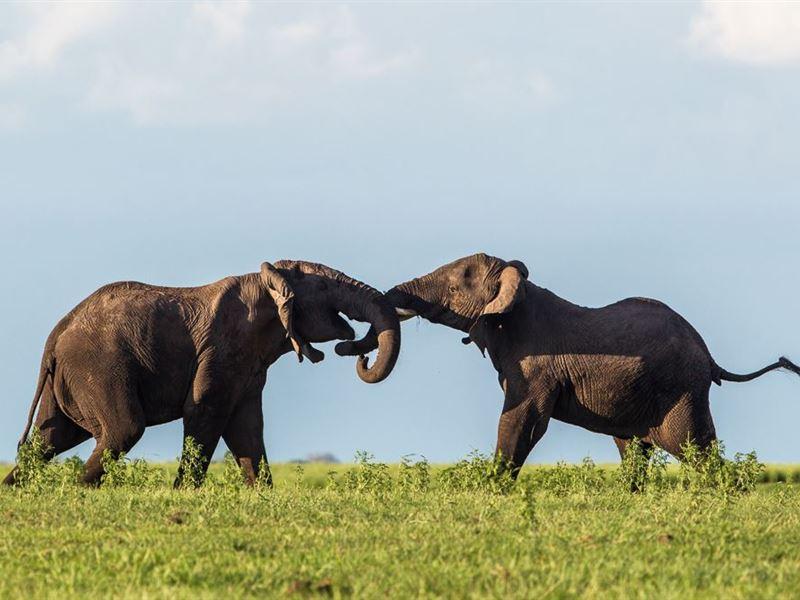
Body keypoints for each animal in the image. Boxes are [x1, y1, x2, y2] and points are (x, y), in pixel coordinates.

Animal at [5, 260, 400, 486]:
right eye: (324, 287)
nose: (355, 351)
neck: (263, 281)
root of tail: (57, 334)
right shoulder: (221, 352)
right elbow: (205, 413)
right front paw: (183, 494)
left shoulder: (248, 364)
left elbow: (246, 428)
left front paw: (261, 494)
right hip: (98, 366)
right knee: (123, 429)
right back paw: (80, 488)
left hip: (70, 378)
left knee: (50, 440)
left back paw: (16, 489)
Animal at [340, 253, 800, 478]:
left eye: (456, 285)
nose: (355, 351)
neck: (517, 292)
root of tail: (709, 356)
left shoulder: (536, 368)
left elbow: (521, 422)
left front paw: (492, 490)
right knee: (633, 451)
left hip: (682, 391)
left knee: (696, 450)